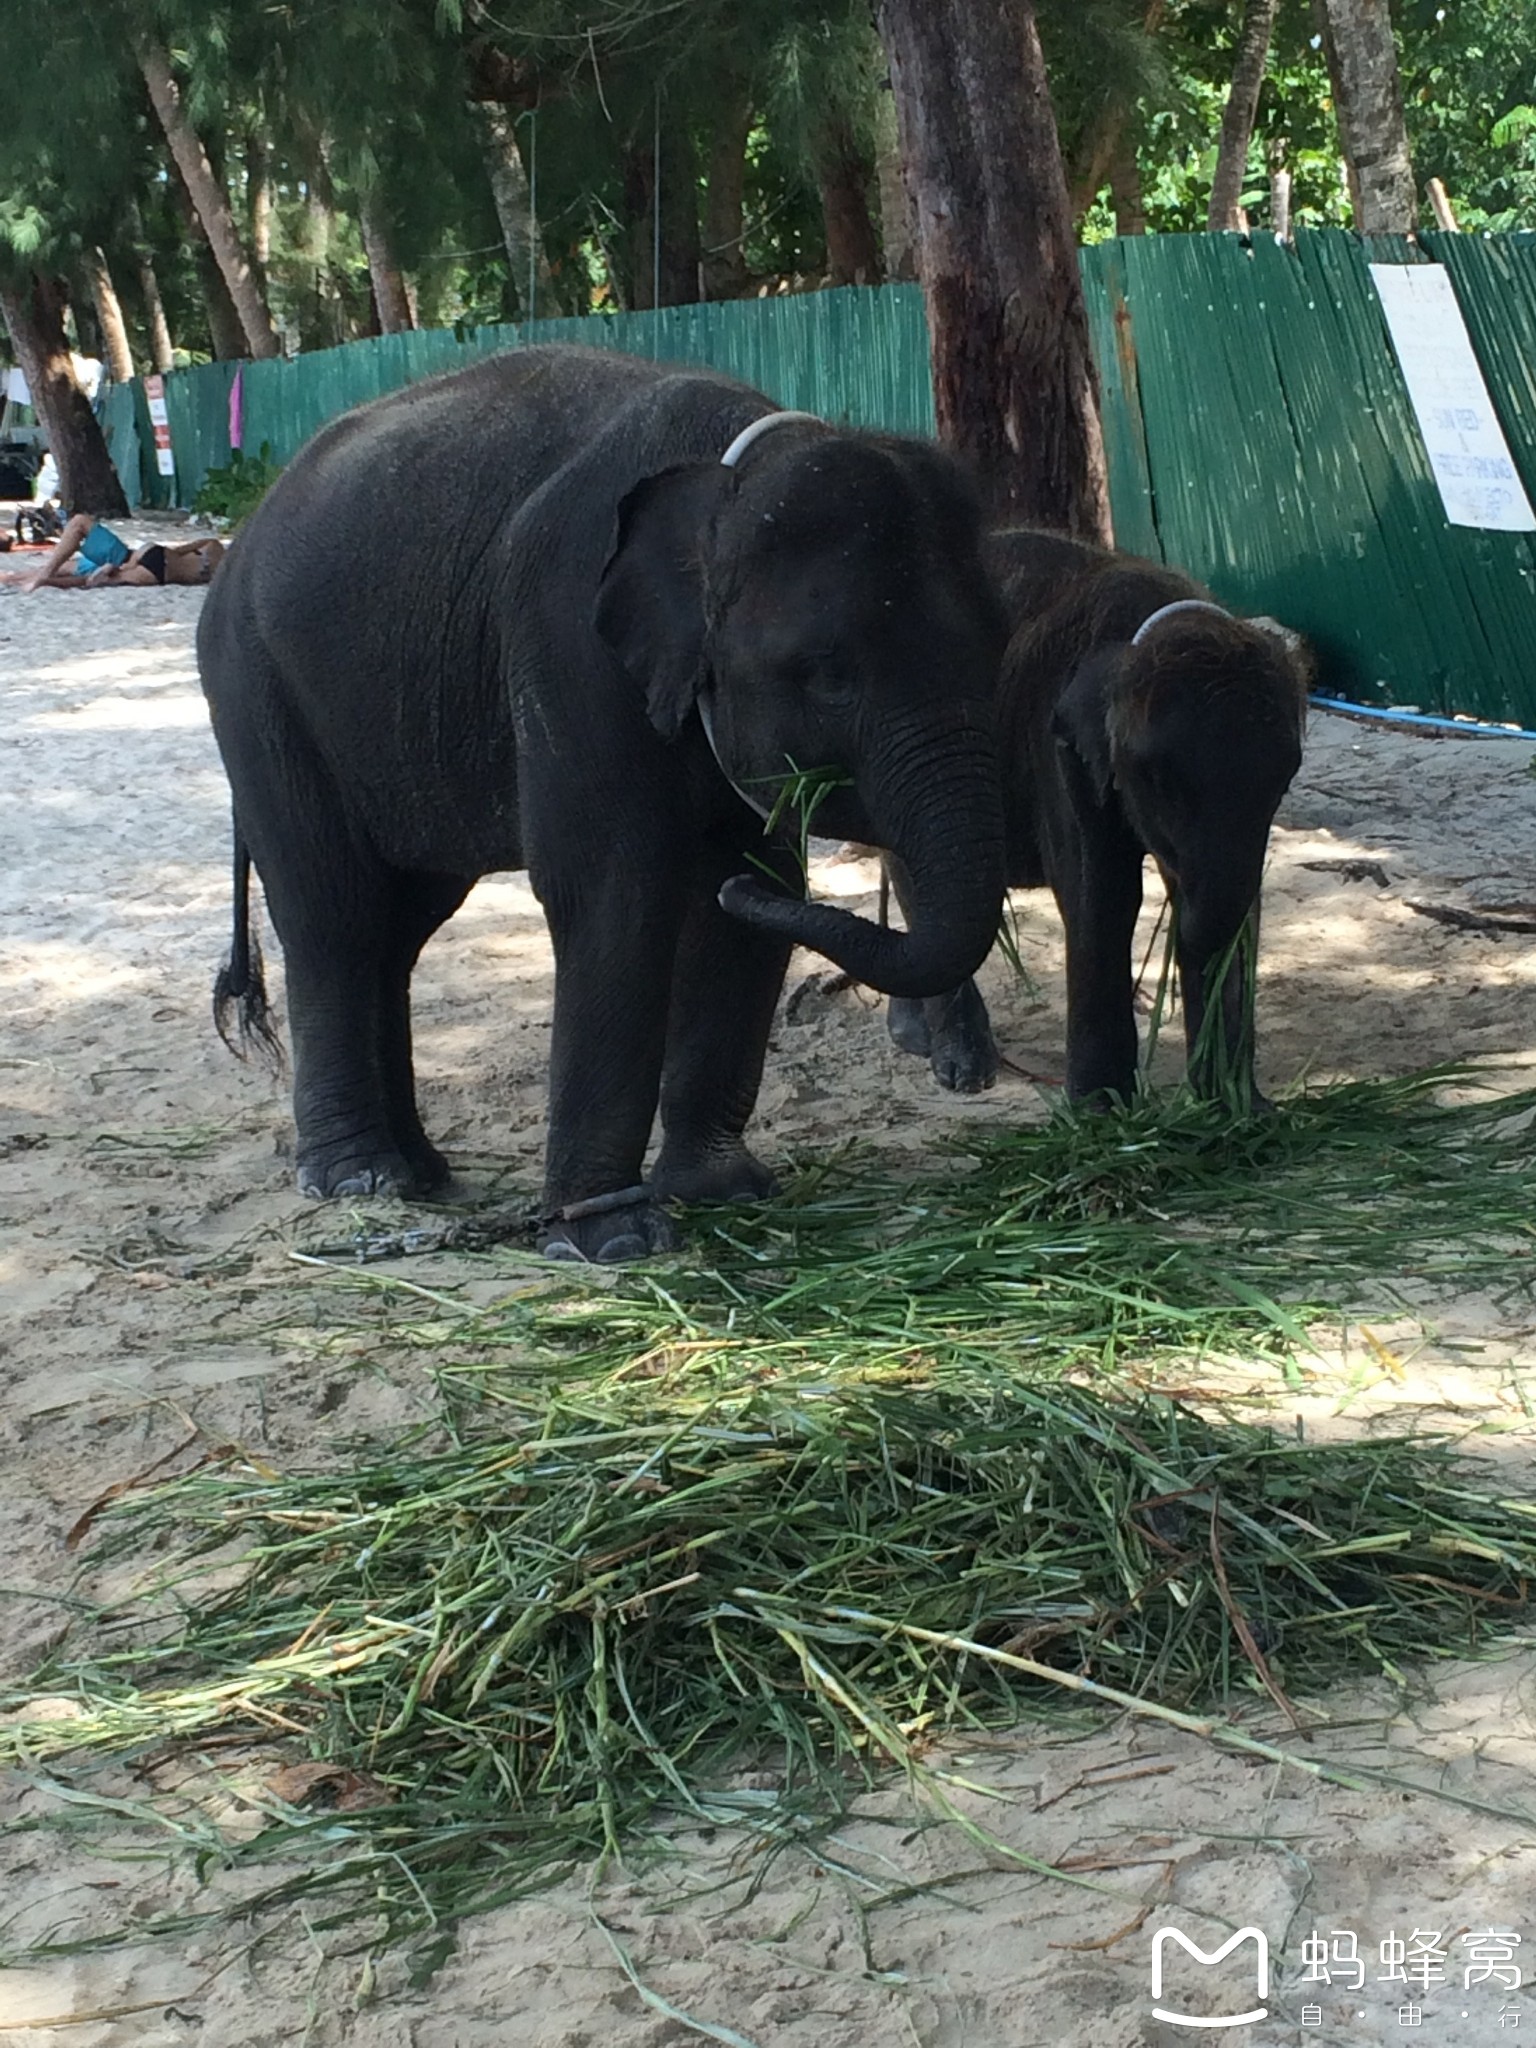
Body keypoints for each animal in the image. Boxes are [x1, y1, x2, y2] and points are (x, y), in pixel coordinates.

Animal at [195, 344, 1011, 1253]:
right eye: (830, 675)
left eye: (999, 650)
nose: (738, 882)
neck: (730, 477)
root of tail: (237, 543)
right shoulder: (566, 643)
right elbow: (611, 892)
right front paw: (611, 1240)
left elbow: (743, 909)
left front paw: (722, 1193)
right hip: (257, 694)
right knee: (334, 918)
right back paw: (358, 1180)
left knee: (399, 928)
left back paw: (423, 1173)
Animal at [888, 528, 1310, 1105]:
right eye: (1158, 780)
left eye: (1285, 777)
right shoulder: (1058, 749)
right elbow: (1101, 893)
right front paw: (1101, 1111)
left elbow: (1242, 905)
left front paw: (1239, 1110)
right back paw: (964, 1070)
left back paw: (914, 1037)